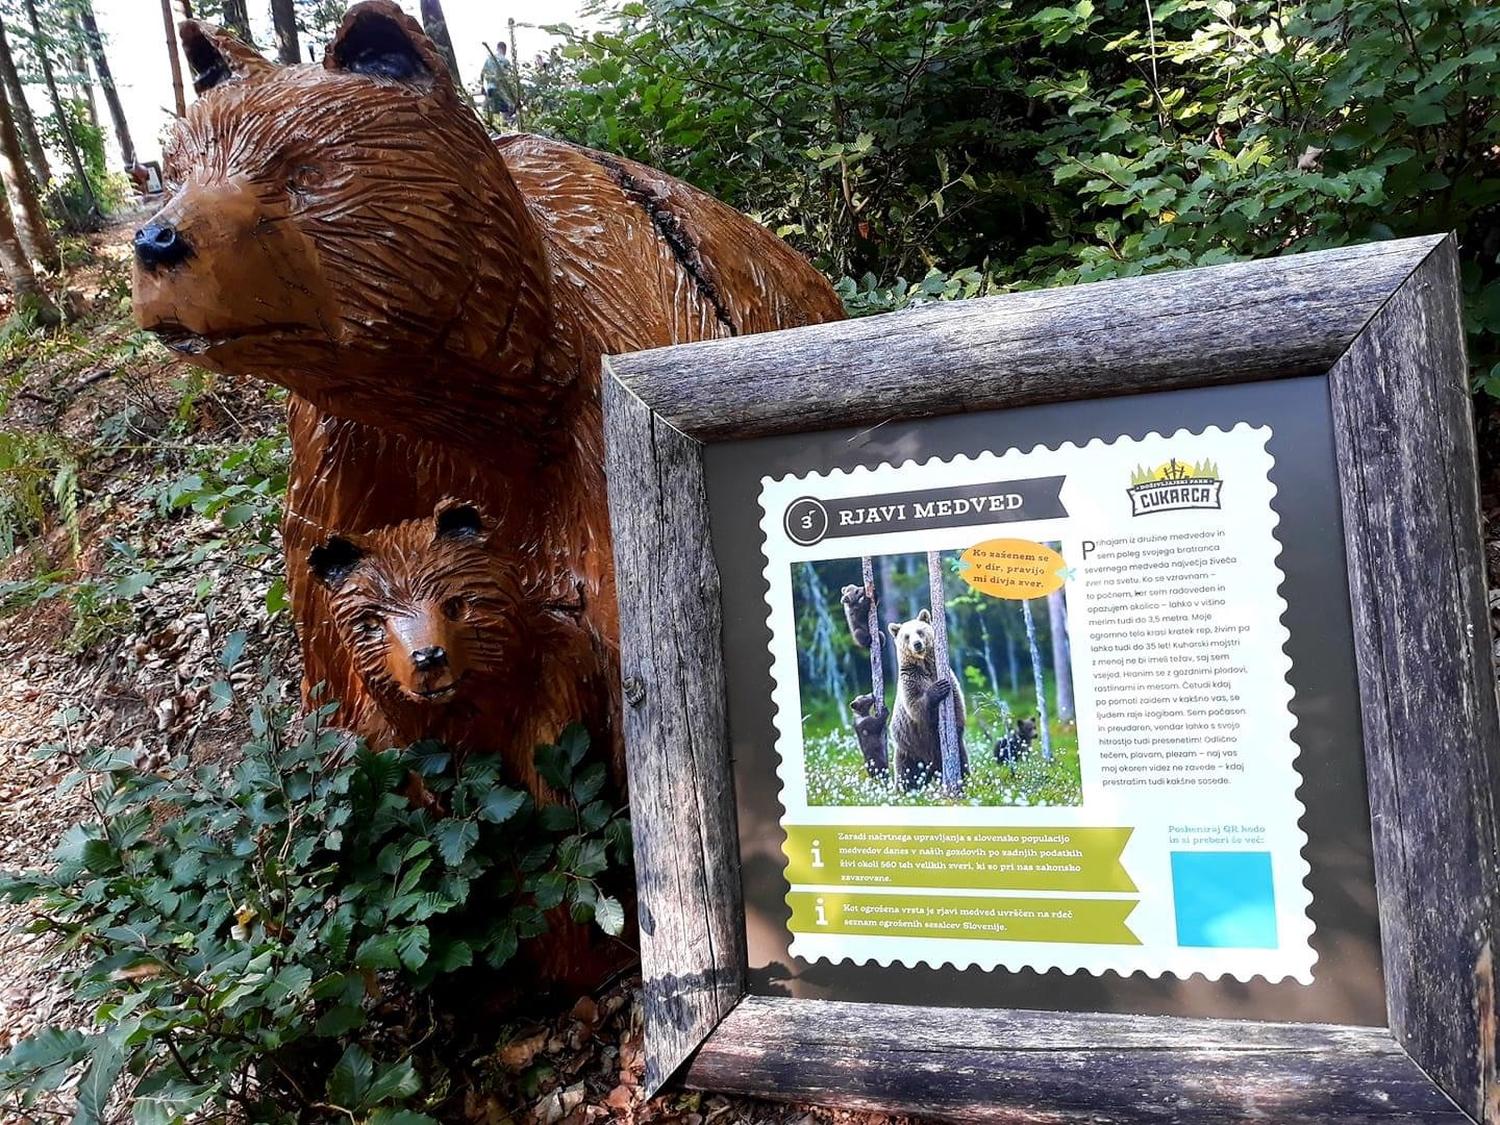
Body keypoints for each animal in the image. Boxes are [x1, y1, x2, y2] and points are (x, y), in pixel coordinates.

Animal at [129, 2, 846, 792]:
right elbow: (344, 655)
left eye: (300, 170)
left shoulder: (618, 393)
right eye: (172, 173)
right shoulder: (345, 450)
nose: (158, 240)